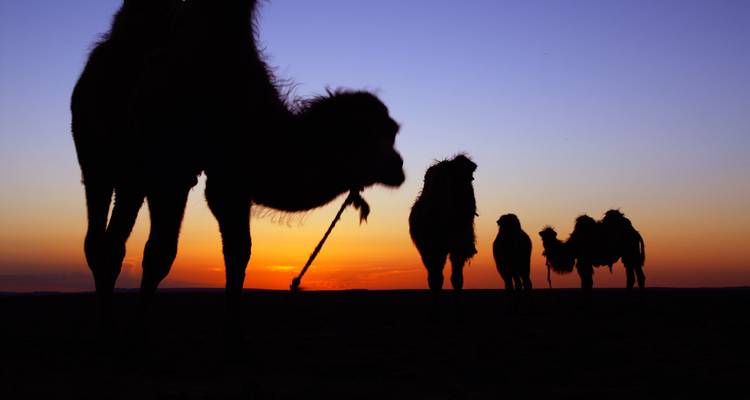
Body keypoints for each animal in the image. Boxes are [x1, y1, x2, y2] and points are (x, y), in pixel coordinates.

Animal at [71, 0, 405, 327]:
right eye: (380, 135)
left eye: (392, 132)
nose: (399, 166)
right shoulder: (173, 171)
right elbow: (160, 254)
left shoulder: (228, 179)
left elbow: (238, 252)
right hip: (99, 157)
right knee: (103, 241)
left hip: (134, 174)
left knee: (111, 240)